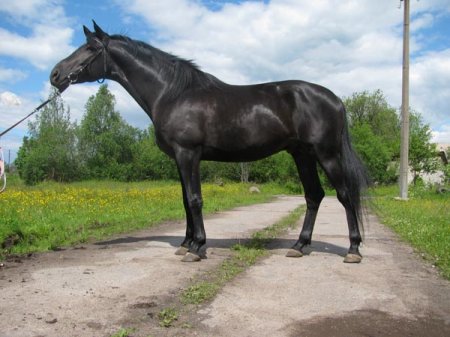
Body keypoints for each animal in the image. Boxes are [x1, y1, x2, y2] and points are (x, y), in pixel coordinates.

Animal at [51, 21, 368, 262]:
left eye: (91, 48)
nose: (55, 74)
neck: (172, 93)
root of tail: (335, 99)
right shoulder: (179, 158)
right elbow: (184, 200)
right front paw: (185, 244)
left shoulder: (188, 154)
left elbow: (194, 199)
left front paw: (197, 247)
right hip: (302, 155)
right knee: (314, 196)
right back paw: (299, 246)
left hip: (326, 154)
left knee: (344, 195)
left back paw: (353, 249)